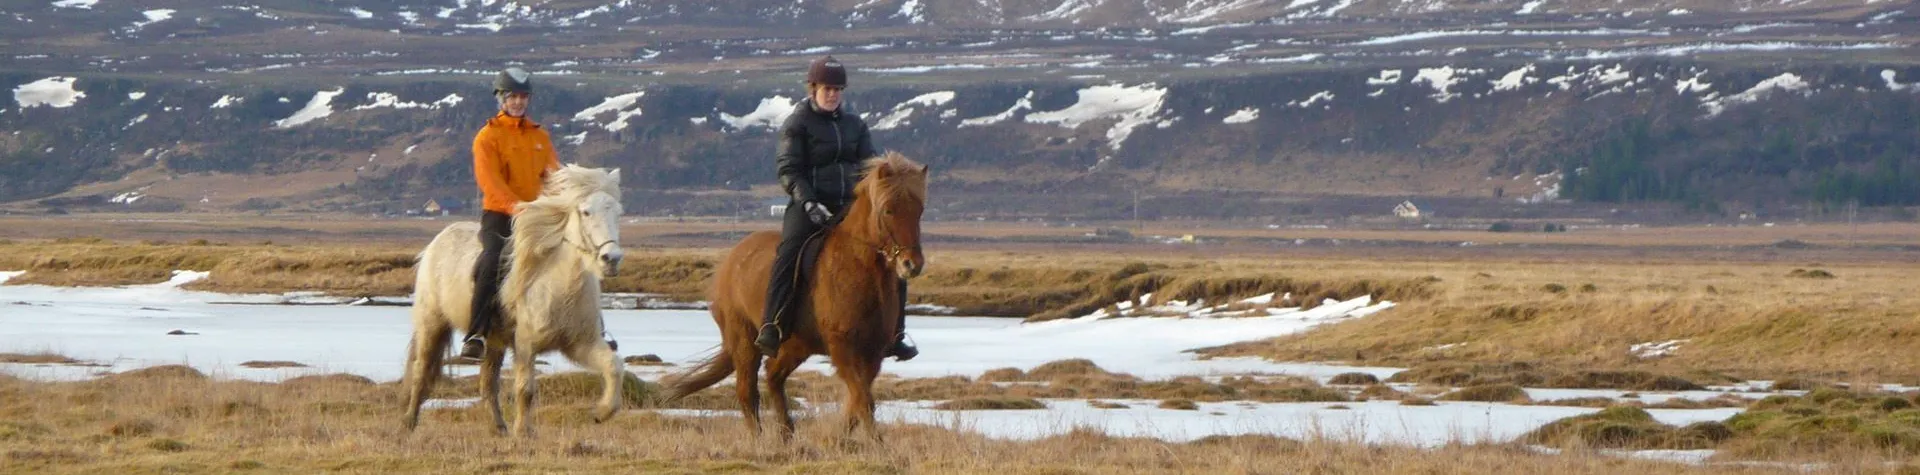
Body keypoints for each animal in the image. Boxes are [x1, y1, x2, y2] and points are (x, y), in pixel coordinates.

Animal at [403, 165, 629, 436]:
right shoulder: (525, 345)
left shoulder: (580, 344)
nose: (611, 259)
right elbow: (525, 390)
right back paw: (409, 421)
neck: (559, 286)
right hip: (432, 323)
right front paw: (523, 432)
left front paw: (601, 412)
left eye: (618, 212)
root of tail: (437, 241)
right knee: (421, 371)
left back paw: (499, 427)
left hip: (494, 342)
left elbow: (614, 367)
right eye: (586, 212)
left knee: (488, 383)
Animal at [664, 152, 925, 442]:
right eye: (888, 209)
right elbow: (864, 401)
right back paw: (759, 440)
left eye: (919, 210)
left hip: (795, 345)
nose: (911, 265)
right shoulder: (842, 348)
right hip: (744, 340)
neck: (859, 269)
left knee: (773, 377)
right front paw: (876, 445)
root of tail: (731, 260)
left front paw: (840, 439)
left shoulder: (874, 352)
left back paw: (787, 433)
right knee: (747, 392)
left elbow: (857, 402)